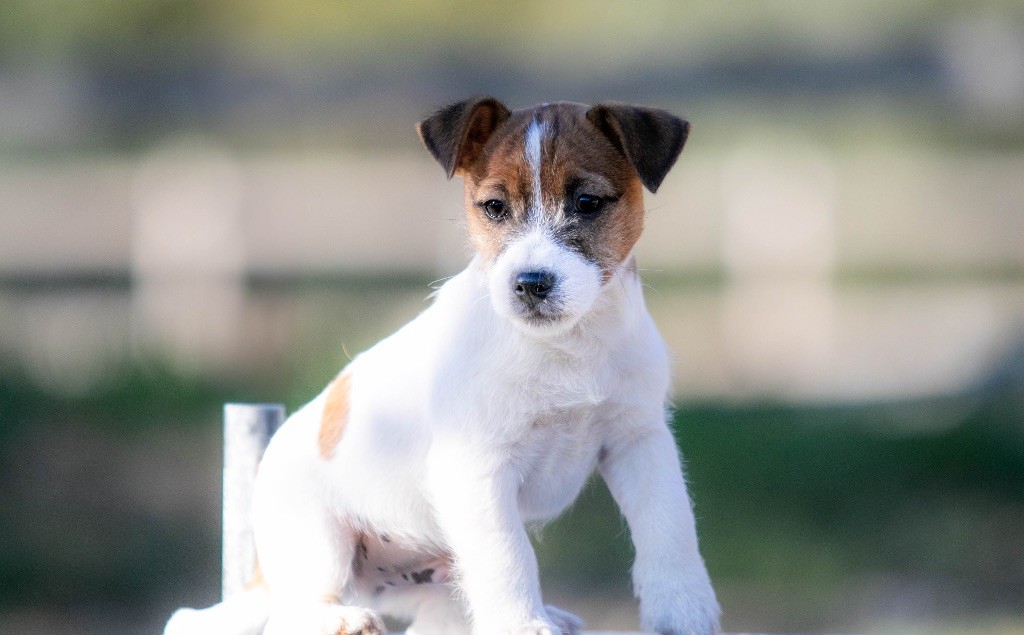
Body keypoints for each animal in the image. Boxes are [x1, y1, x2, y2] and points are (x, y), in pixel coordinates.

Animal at [165, 96, 720, 630]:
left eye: (586, 203)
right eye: (494, 207)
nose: (530, 283)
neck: (565, 348)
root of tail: (262, 571)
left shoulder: (638, 440)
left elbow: (670, 527)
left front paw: (683, 610)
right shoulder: (477, 470)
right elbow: (509, 556)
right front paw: (522, 625)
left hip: (441, 568)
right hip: (319, 541)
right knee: (293, 611)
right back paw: (339, 618)